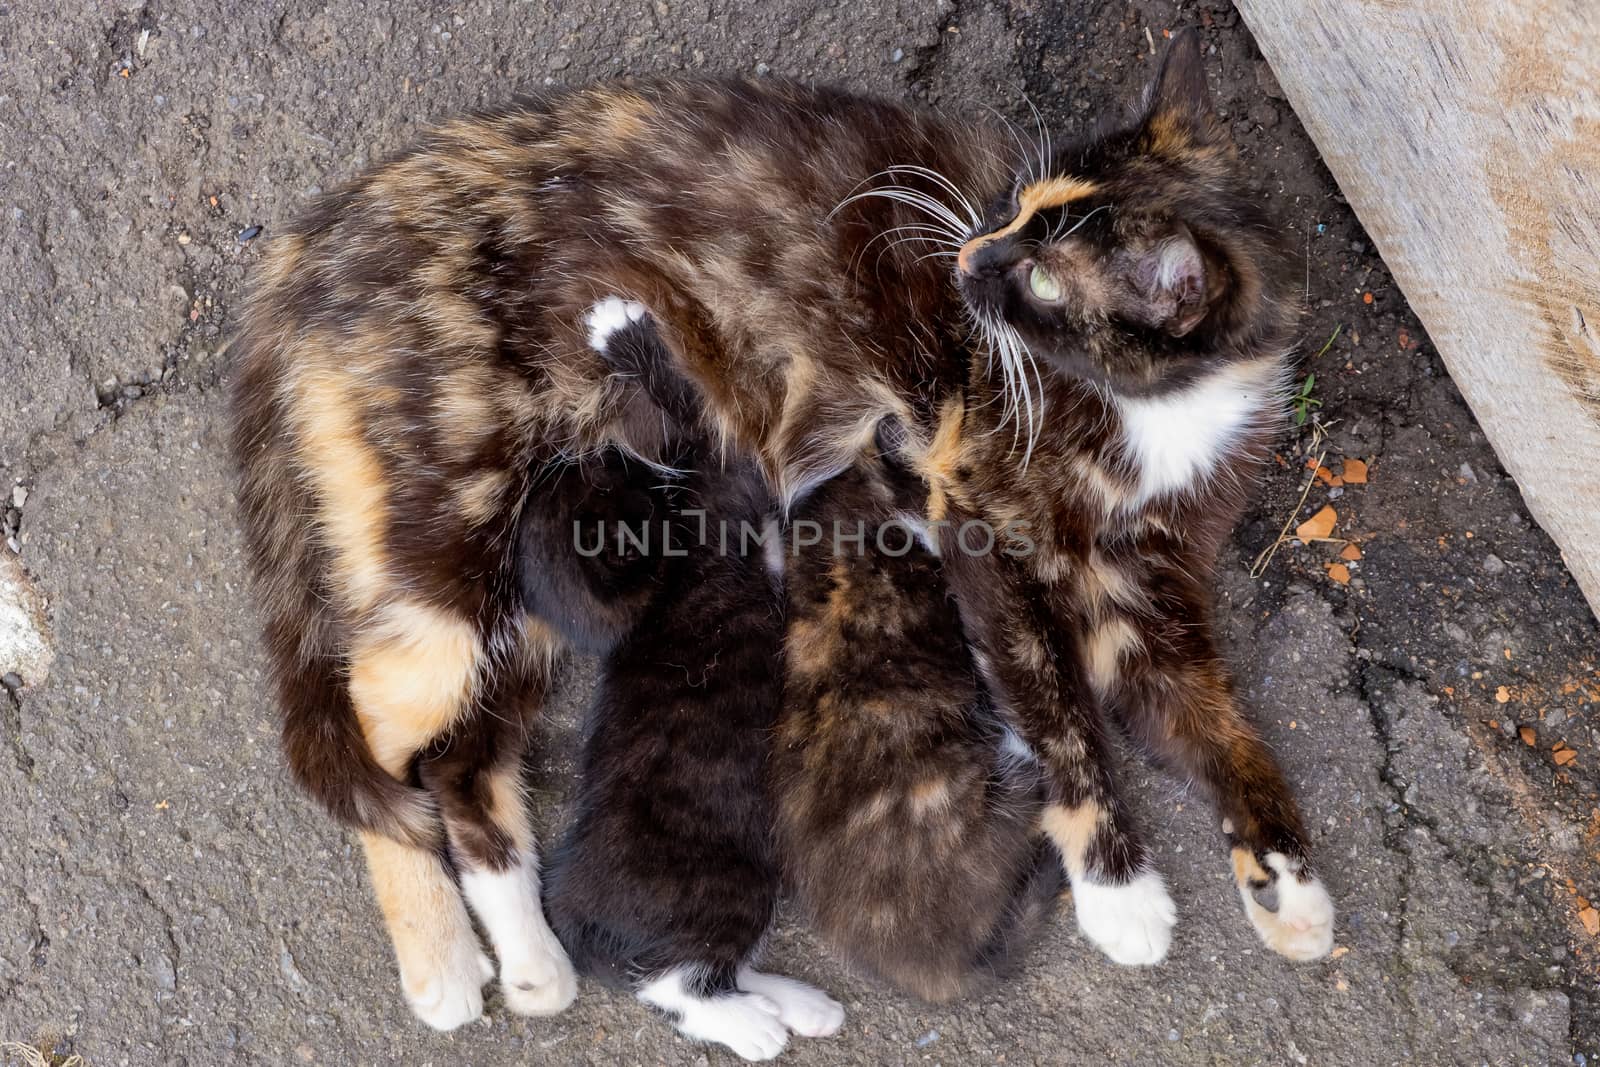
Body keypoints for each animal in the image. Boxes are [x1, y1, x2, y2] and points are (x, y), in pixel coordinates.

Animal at [232, 29, 1331, 1030]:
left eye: (1047, 277)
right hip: (455, 535)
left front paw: (1287, 879)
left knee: (462, 761)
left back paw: (535, 960)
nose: (971, 251)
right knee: (379, 734)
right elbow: (1060, 710)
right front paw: (1121, 893)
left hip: (552, 568)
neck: (1148, 412)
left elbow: (1216, 725)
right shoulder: (971, 507)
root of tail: (318, 238)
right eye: (1017, 204)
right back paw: (442, 958)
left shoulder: (1143, 594)